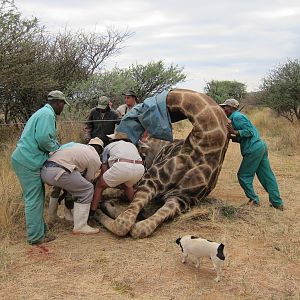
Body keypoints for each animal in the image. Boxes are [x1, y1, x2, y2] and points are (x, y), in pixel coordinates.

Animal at [95, 88, 229, 238]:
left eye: (139, 108)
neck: (206, 144)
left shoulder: (181, 199)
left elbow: (134, 226)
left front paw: (101, 209)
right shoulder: (150, 182)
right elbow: (126, 220)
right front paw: (102, 207)